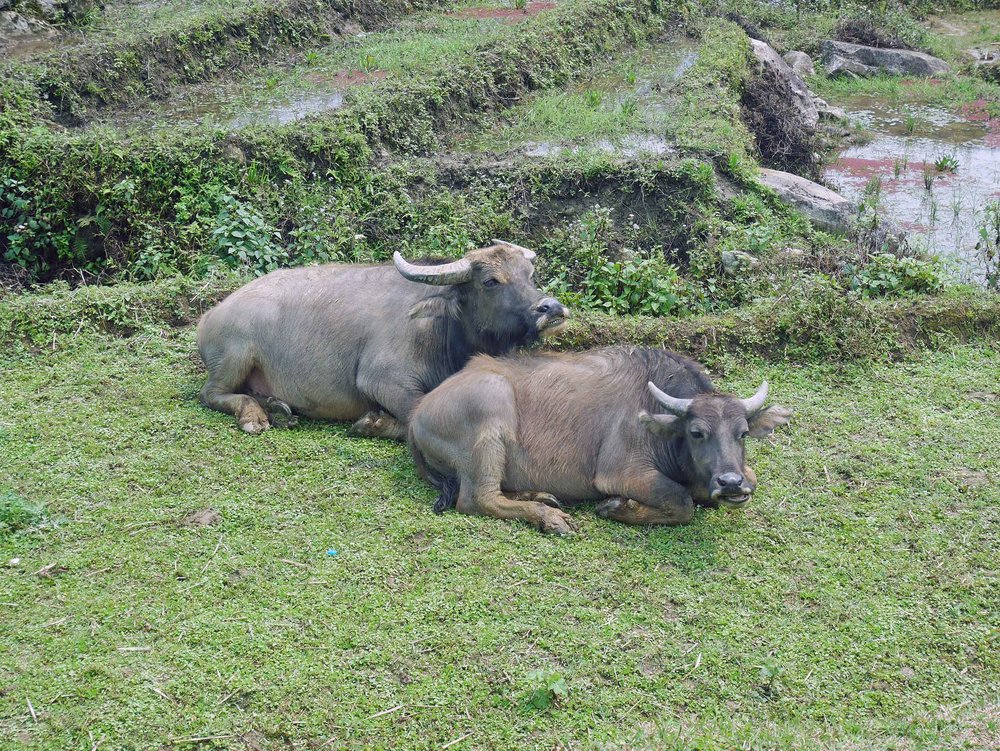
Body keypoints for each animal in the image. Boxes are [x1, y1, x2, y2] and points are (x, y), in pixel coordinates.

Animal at [197, 244, 572, 438]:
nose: (551, 308)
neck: (440, 333)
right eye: (491, 281)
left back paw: (277, 408)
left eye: (530, 275)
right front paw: (374, 423)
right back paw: (255, 416)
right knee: (211, 393)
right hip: (235, 356)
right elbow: (416, 413)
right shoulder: (382, 380)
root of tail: (209, 316)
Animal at [410, 348, 792, 536]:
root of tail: (417, 414)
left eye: (743, 433)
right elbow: (681, 501)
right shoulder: (620, 473)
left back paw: (541, 497)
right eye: (697, 432)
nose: (730, 484)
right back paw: (551, 519)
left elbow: (752, 477)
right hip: (491, 411)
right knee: (478, 499)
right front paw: (618, 507)